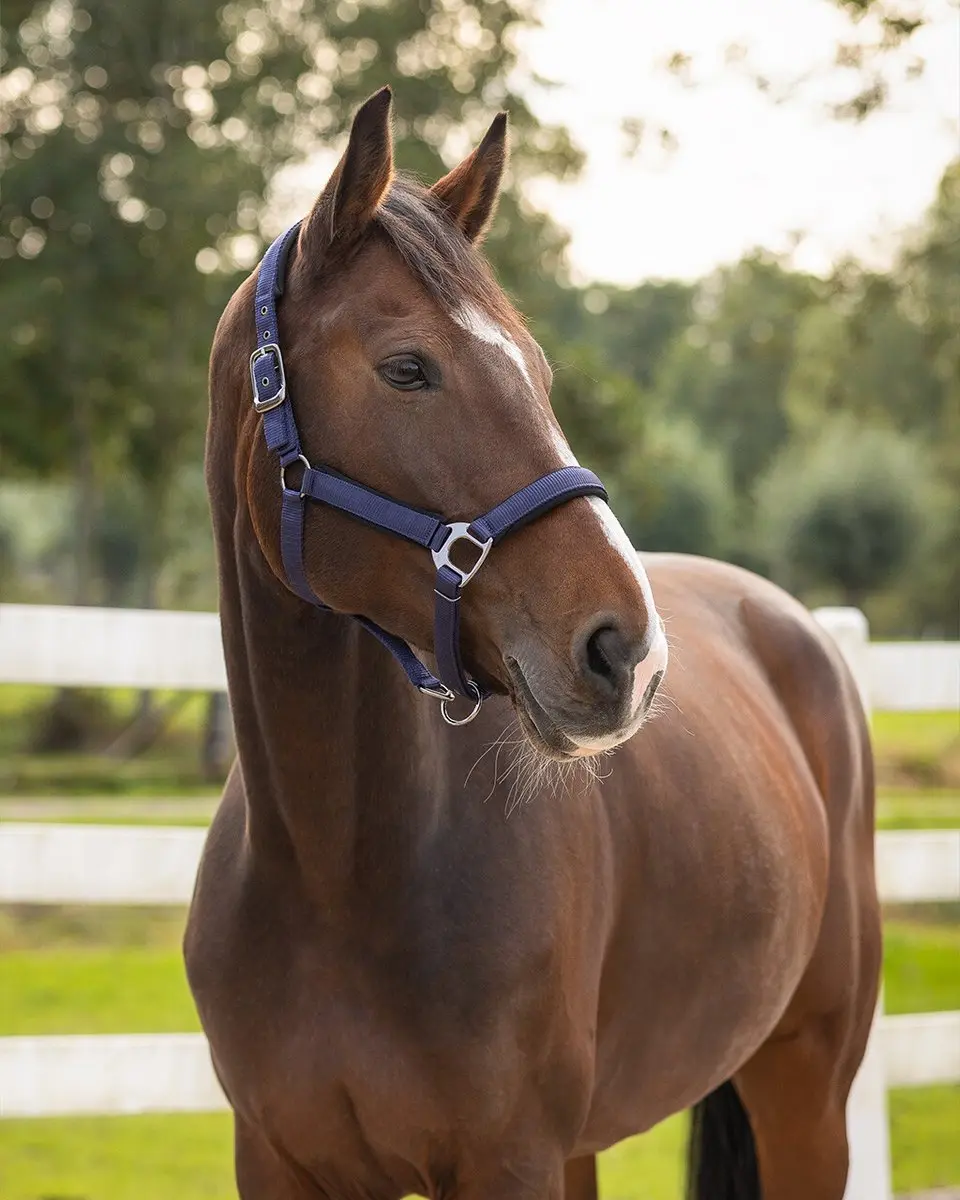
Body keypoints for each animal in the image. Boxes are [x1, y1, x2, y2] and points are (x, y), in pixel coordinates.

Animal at [185, 86, 881, 1200]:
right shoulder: (281, 1161)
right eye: (407, 368)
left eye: (539, 373)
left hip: (806, 1092)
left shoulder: (509, 1159)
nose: (627, 651)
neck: (333, 872)